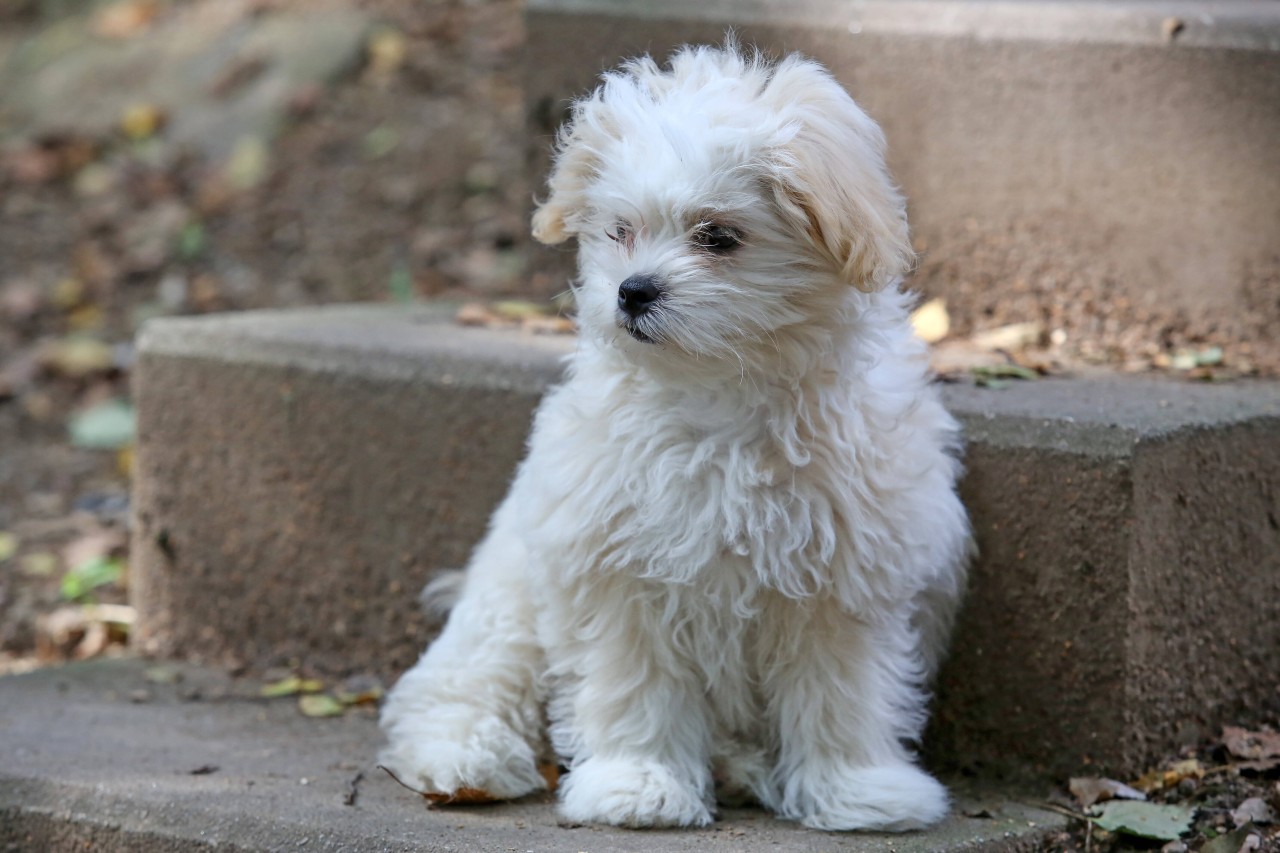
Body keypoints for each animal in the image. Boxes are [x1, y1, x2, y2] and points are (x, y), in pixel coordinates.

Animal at [378, 44, 967, 829]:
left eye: (717, 236)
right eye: (620, 230)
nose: (634, 291)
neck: (720, 393)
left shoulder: (844, 575)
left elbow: (843, 688)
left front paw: (859, 788)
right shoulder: (623, 569)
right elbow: (638, 686)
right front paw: (638, 785)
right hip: (508, 603)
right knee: (464, 682)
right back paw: (465, 758)